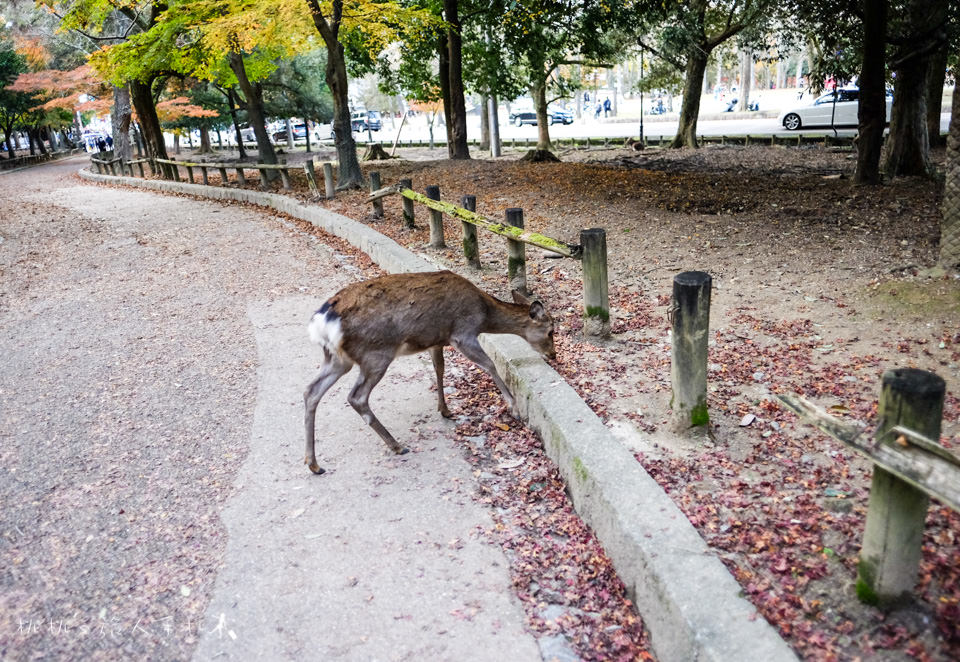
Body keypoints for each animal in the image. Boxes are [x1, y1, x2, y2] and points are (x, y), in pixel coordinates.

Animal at [300, 272, 556, 478]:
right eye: (551, 330)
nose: (552, 355)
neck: (484, 314)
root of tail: (323, 322)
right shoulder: (462, 333)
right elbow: (489, 365)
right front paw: (514, 408)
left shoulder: (437, 340)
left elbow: (439, 369)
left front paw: (445, 410)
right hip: (376, 354)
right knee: (357, 396)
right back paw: (397, 445)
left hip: (337, 359)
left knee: (311, 391)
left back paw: (314, 464)